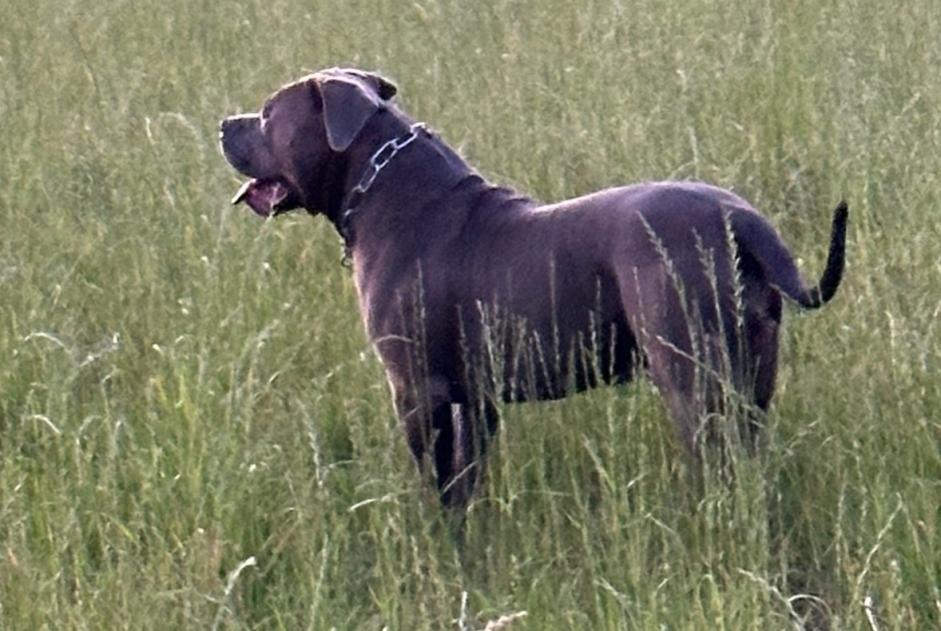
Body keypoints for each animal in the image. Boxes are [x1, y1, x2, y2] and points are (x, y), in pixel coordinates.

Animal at [218, 66, 844, 508]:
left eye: (269, 113)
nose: (224, 123)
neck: (382, 186)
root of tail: (740, 218)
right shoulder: (475, 400)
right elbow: (465, 486)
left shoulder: (417, 393)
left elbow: (435, 488)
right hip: (755, 373)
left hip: (689, 374)